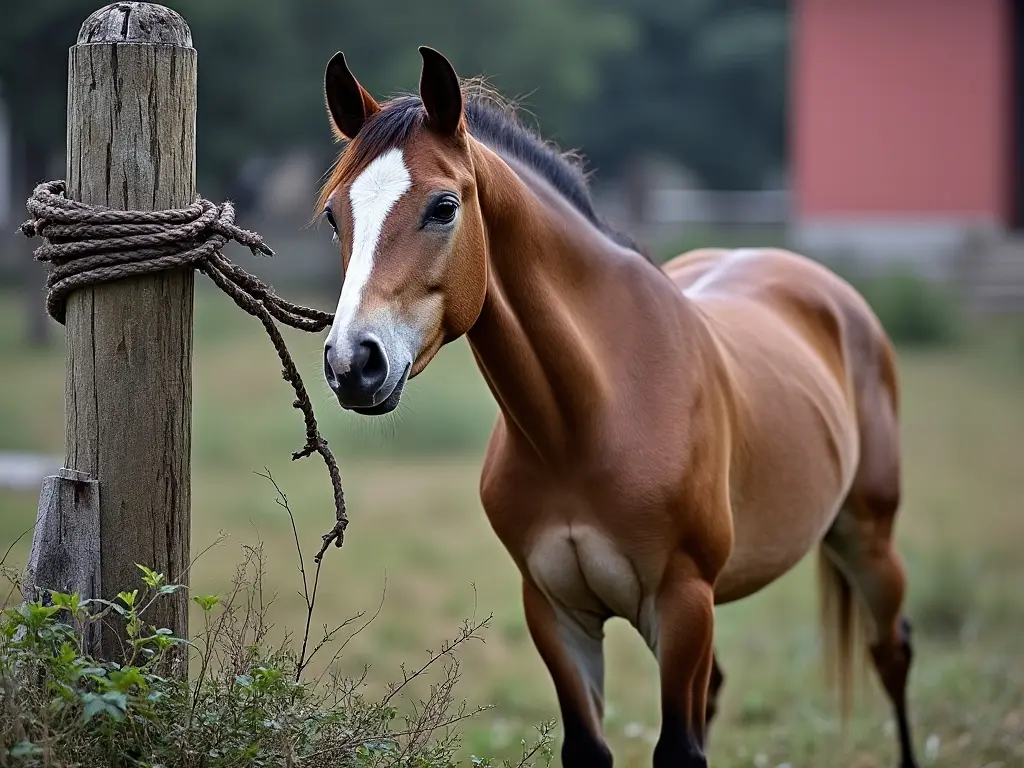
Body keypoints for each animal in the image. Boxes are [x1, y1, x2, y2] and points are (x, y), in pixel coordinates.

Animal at [313, 48, 921, 768]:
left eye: (443, 207)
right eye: (335, 215)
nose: (353, 363)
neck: (588, 421)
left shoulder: (683, 603)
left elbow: (679, 749)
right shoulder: (556, 611)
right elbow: (592, 745)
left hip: (867, 538)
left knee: (892, 653)